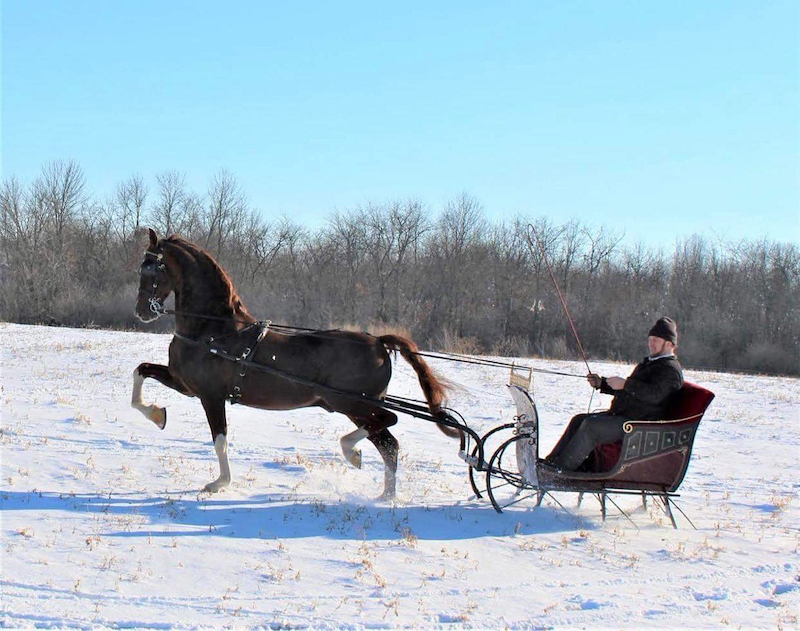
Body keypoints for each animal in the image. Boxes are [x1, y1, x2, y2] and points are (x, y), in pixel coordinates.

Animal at [131, 228, 456, 498]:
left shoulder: (211, 396)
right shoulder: (184, 384)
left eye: (150, 268)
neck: (213, 331)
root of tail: (378, 342)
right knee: (389, 444)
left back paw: (353, 454)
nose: (140, 312)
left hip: (352, 403)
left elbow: (220, 439)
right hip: (355, 407)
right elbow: (141, 372)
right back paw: (383, 494)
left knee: (389, 423)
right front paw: (157, 414)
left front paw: (220, 483)